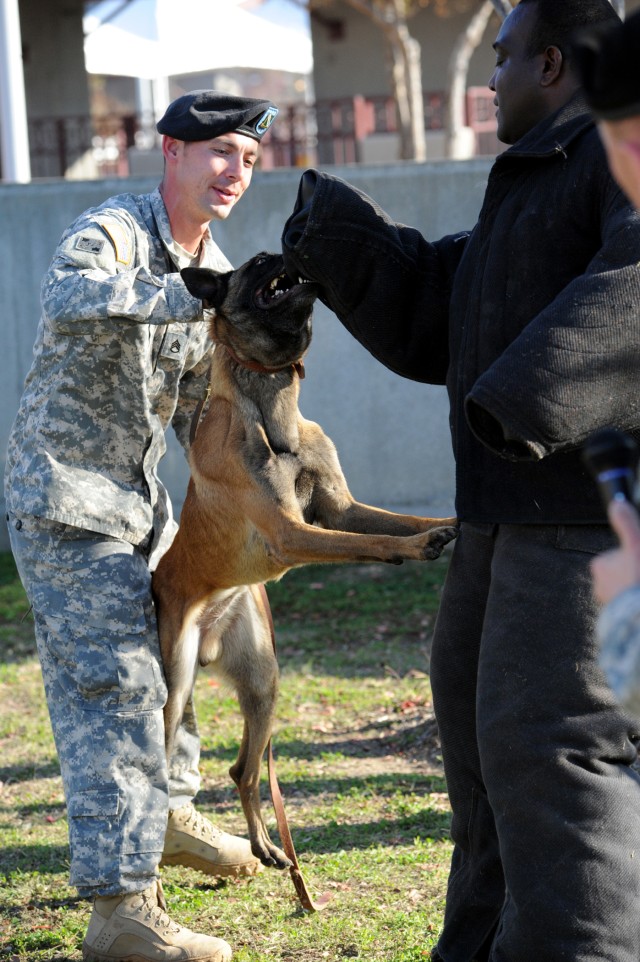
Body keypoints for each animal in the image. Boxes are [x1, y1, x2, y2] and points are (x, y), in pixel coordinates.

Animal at [152, 249, 458, 872]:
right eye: (254, 265)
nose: (277, 249)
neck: (273, 408)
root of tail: (210, 632)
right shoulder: (292, 534)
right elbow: (371, 543)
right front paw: (415, 549)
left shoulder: (341, 508)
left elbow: (398, 520)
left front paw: (444, 525)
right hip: (177, 685)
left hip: (264, 680)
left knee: (243, 770)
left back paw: (267, 848)